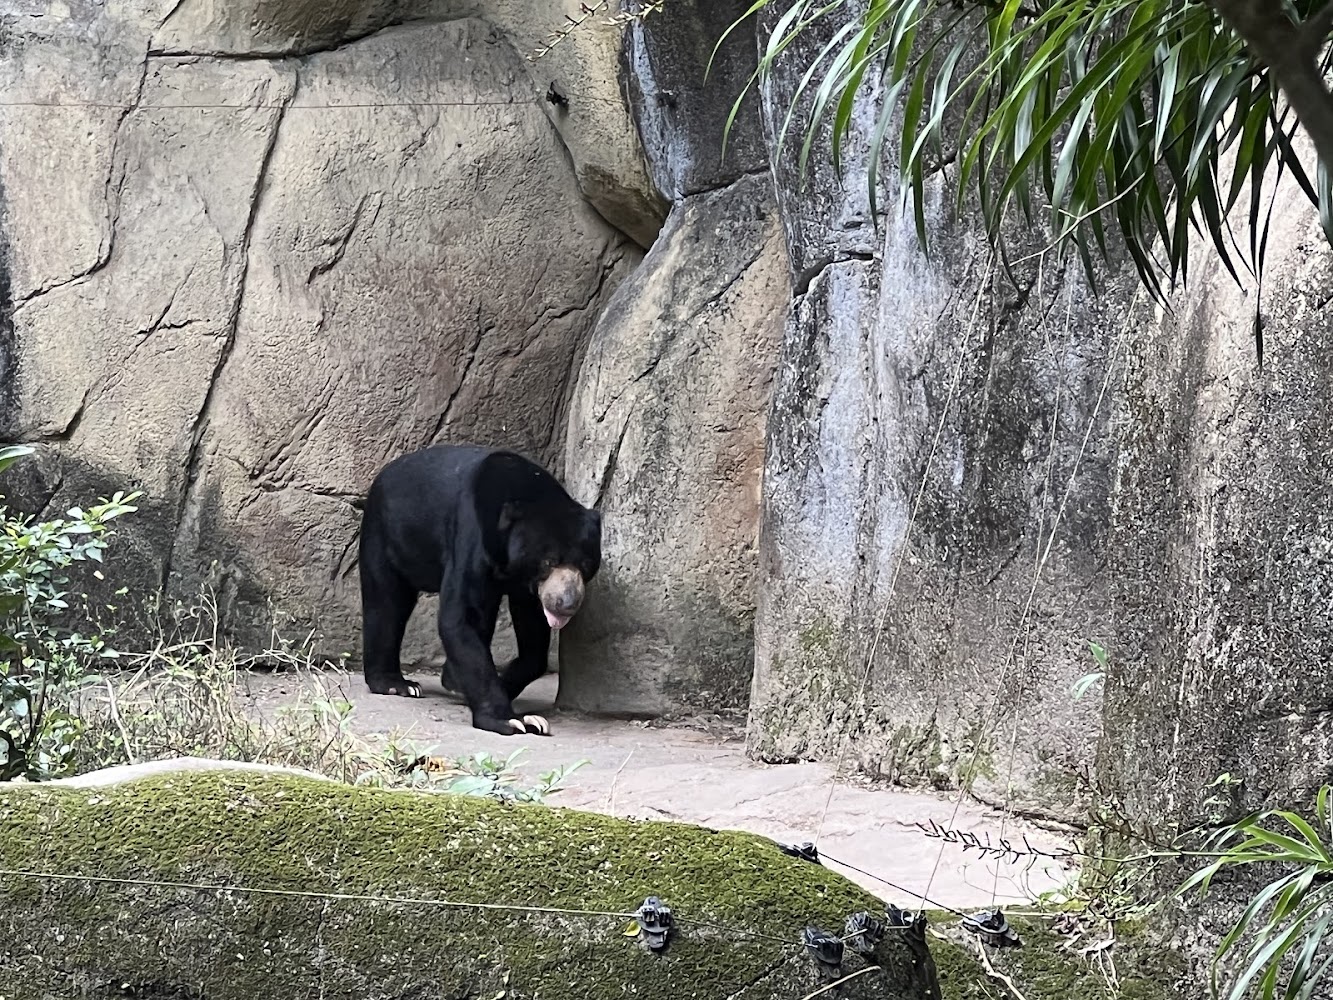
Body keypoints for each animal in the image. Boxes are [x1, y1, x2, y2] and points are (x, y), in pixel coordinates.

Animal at [357, 443, 602, 736]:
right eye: (549, 562)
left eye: (585, 565)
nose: (567, 602)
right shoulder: (472, 535)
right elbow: (461, 617)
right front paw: (512, 720)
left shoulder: (525, 584)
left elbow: (532, 629)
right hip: (386, 536)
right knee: (386, 604)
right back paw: (397, 683)